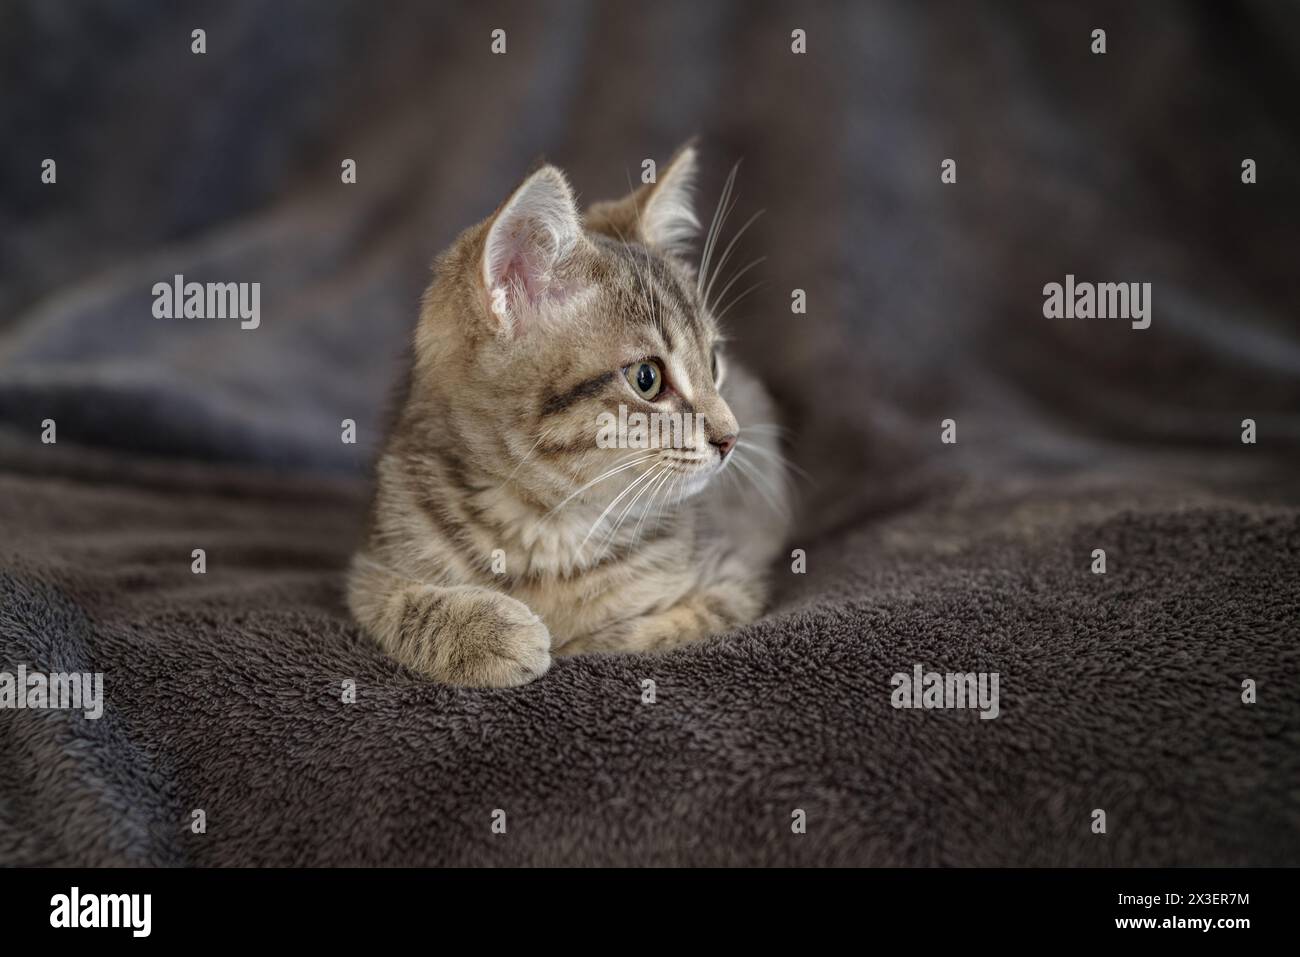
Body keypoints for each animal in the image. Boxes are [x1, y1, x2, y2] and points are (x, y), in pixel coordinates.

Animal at [348, 143, 790, 686]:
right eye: (647, 378)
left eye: (713, 363)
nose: (731, 438)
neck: (547, 526)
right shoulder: (372, 569)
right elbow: (400, 605)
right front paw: (488, 631)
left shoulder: (735, 581)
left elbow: (645, 629)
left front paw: (577, 637)